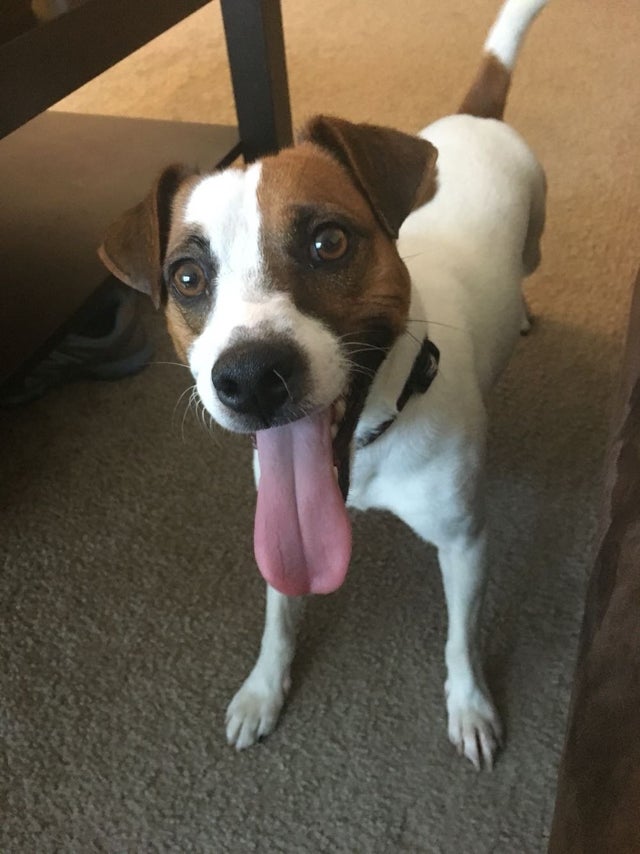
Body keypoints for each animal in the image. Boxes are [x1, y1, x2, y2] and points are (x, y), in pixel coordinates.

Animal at [101, 0, 552, 772]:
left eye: (328, 242)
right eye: (187, 276)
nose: (251, 377)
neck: (368, 443)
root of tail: (474, 116)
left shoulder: (466, 543)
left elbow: (461, 641)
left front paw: (470, 705)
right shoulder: (278, 533)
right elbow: (280, 617)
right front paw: (263, 690)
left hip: (536, 235)